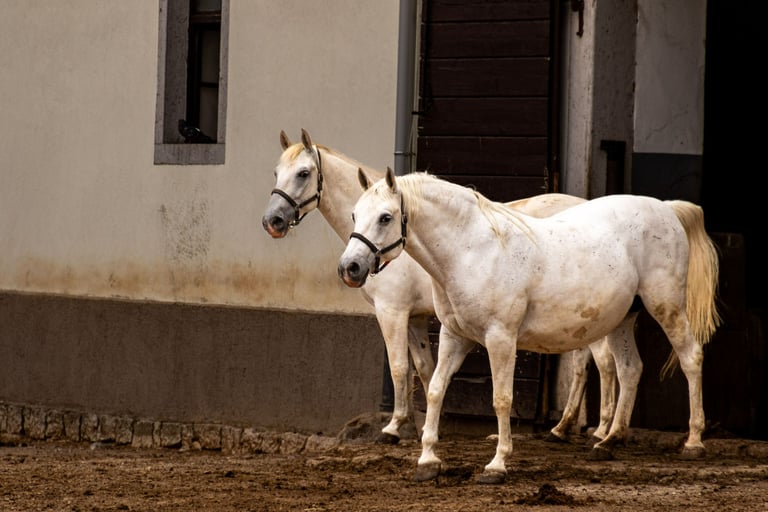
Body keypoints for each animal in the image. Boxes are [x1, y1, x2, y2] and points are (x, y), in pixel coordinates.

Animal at [263, 129, 628, 450]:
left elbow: (399, 367)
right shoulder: (416, 318)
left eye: (304, 173)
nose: (273, 222)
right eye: (277, 172)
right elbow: (425, 369)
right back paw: (564, 428)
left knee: (605, 363)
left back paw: (601, 432)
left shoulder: (392, 312)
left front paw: (394, 428)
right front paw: (426, 427)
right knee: (584, 363)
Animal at [339, 168, 720, 484]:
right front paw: (428, 461)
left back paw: (693, 442)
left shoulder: (500, 339)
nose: (350, 268)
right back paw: (610, 441)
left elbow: (501, 399)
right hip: (624, 319)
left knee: (691, 358)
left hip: (666, 306)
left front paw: (496, 465)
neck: (472, 251)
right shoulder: (454, 336)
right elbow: (435, 389)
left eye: (386, 217)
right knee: (630, 369)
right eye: (355, 214)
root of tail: (666, 209)